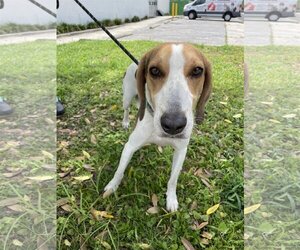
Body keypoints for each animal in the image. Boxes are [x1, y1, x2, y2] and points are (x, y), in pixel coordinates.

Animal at [104, 43, 212, 211]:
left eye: (197, 71)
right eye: (154, 70)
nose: (173, 124)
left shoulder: (181, 150)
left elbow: (173, 180)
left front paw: (171, 199)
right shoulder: (130, 146)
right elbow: (119, 170)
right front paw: (112, 186)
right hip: (126, 98)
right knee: (126, 109)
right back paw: (126, 122)